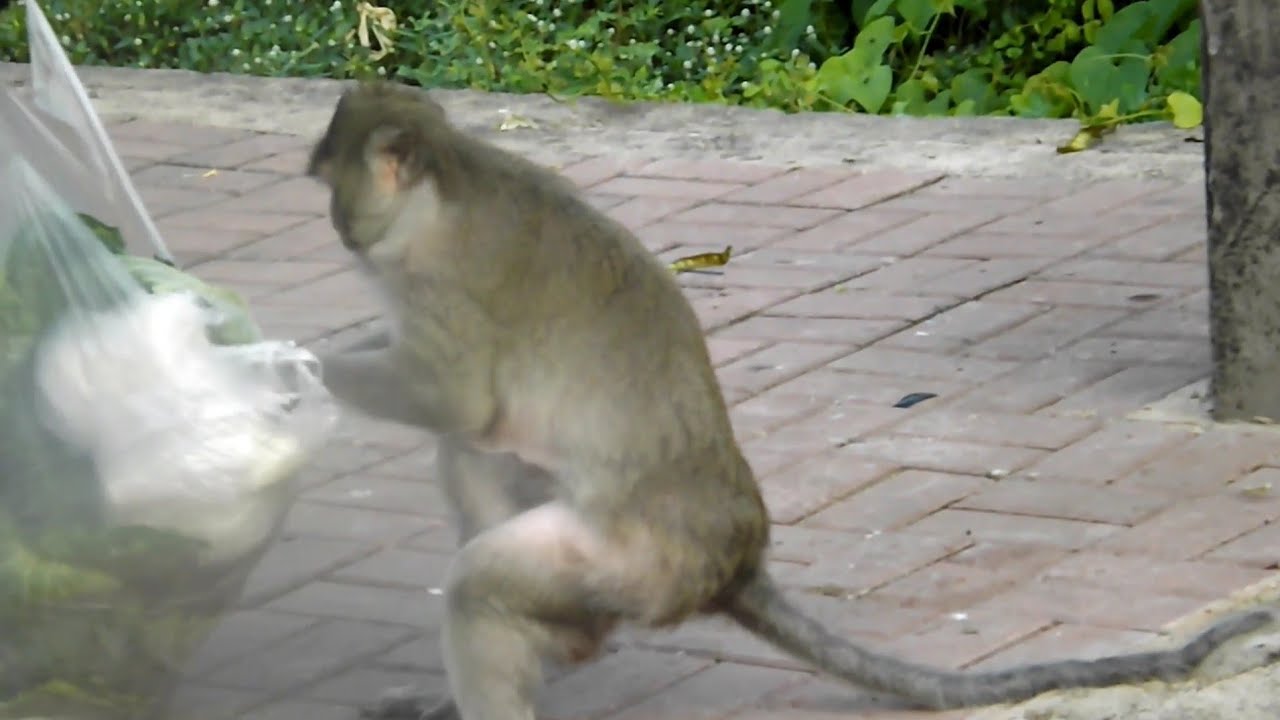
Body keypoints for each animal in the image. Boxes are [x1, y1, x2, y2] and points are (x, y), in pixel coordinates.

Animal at [303, 81, 1275, 720]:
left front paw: (288, 361)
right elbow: (465, 422)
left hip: (624, 562)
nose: (338, 228)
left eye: (330, 184)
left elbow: (453, 396)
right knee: (478, 463)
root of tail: (732, 560)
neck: (451, 177)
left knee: (482, 574)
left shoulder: (440, 286)